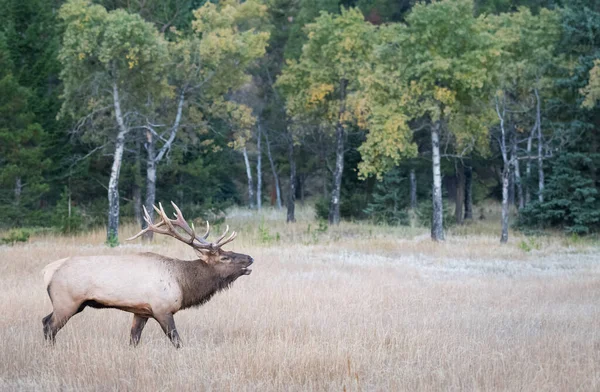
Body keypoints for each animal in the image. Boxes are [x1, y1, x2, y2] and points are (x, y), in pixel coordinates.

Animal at [41, 204, 253, 348]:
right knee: (50, 326)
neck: (183, 284)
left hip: (74, 304)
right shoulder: (162, 309)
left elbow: (134, 339)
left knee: (44, 321)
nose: (250, 258)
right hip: (67, 301)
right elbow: (177, 341)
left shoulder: (141, 311)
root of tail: (47, 271)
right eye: (225, 257)